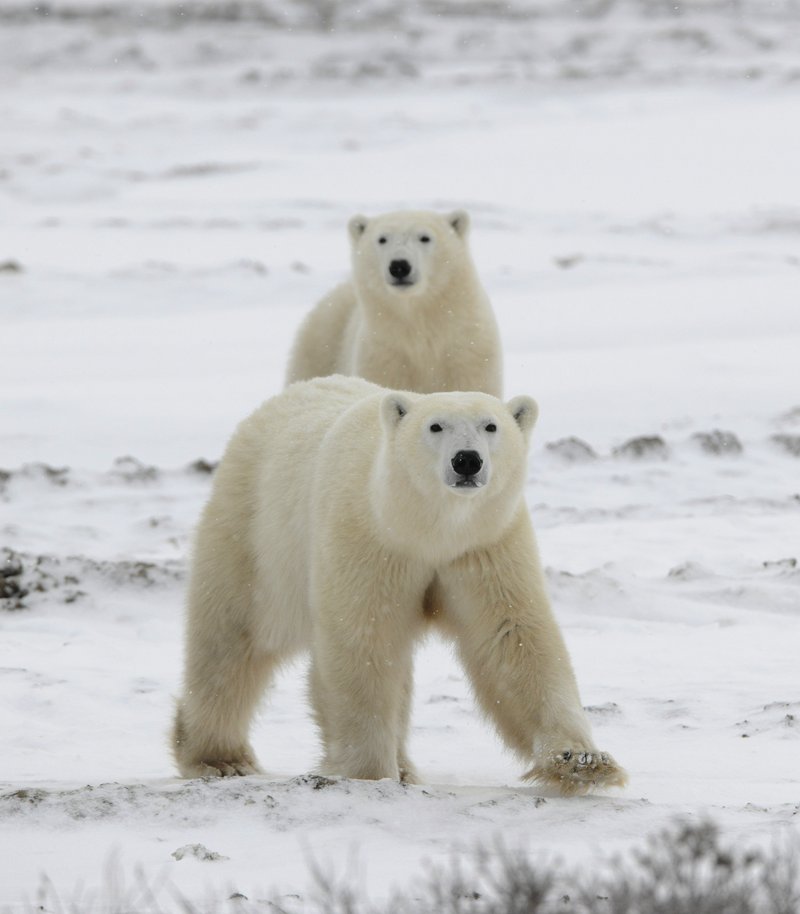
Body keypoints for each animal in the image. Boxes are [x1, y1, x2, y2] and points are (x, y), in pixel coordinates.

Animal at [173, 374, 624, 796]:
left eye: (491, 425)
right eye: (435, 426)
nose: (467, 461)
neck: (425, 528)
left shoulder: (483, 546)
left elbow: (512, 635)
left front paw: (582, 760)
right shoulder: (372, 541)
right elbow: (364, 641)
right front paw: (370, 772)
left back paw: (405, 766)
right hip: (257, 534)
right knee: (233, 639)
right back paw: (219, 758)